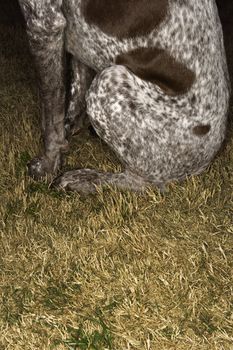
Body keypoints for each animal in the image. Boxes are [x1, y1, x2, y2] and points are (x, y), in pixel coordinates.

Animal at [18, 0, 229, 191]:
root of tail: (207, 160)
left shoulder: (44, 22)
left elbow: (50, 113)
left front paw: (47, 164)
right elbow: (73, 93)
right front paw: (68, 129)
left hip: (106, 83)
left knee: (145, 184)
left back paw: (82, 180)